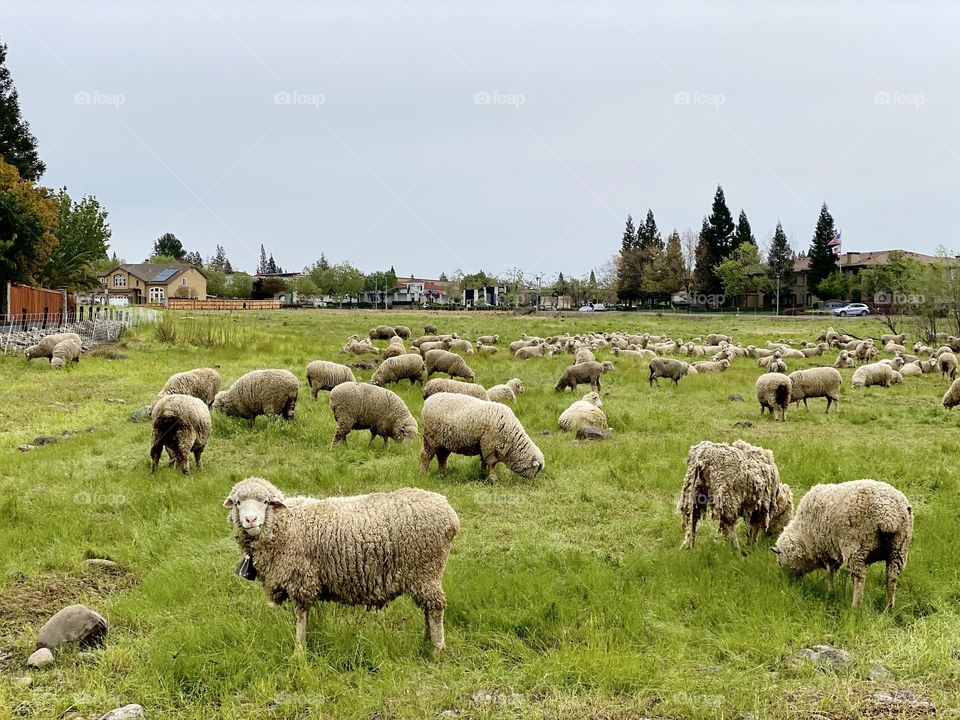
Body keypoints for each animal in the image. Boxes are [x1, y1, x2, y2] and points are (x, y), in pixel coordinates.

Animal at [229, 478, 462, 660]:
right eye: (238, 503)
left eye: (266, 502)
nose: (250, 519)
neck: (285, 523)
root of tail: (450, 513)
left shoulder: (301, 579)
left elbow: (300, 617)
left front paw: (299, 652)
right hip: (423, 575)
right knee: (427, 608)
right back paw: (426, 641)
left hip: (426, 569)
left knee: (435, 608)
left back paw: (436, 649)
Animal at [772, 478, 916, 608]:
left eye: (780, 562)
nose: (789, 582)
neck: (802, 535)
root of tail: (888, 514)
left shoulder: (826, 550)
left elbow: (830, 573)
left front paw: (830, 592)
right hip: (898, 549)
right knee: (891, 578)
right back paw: (889, 607)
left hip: (857, 548)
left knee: (859, 578)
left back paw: (856, 606)